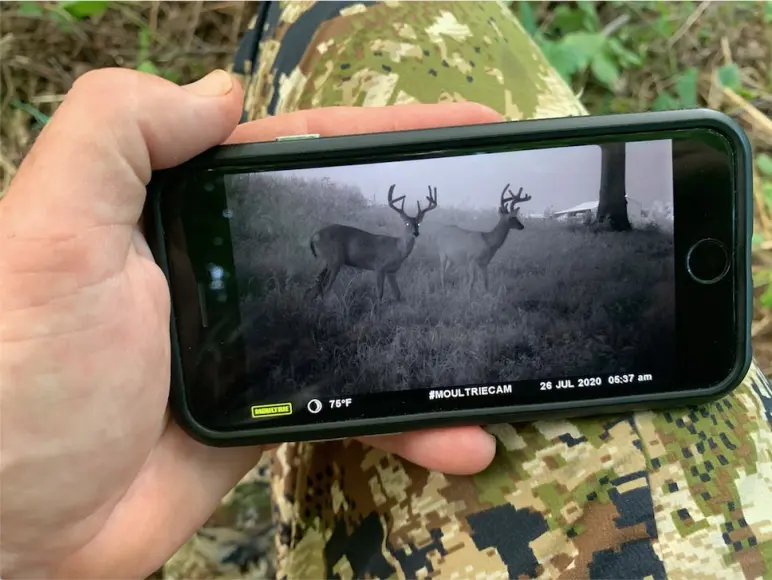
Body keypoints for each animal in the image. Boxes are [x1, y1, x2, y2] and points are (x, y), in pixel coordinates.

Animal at [304, 185, 438, 304]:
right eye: (407, 223)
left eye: (418, 224)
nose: (416, 233)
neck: (397, 249)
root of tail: (314, 236)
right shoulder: (379, 267)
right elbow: (380, 293)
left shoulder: (392, 271)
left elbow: (398, 294)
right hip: (333, 260)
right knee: (322, 287)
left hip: (326, 261)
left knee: (315, 288)